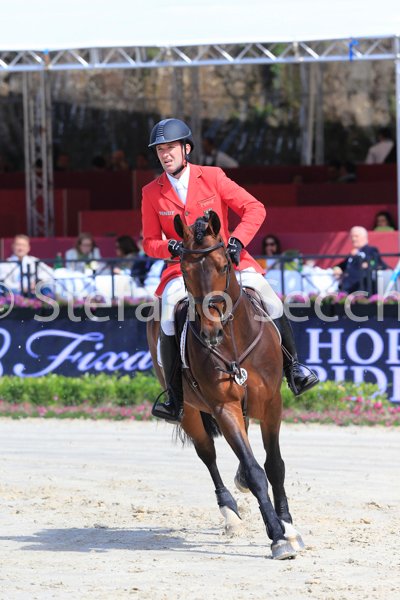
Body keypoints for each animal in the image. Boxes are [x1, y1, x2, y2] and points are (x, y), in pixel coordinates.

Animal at [147, 210, 304, 559]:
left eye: (223, 265)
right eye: (185, 269)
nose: (211, 333)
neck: (233, 340)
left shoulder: (271, 403)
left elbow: (274, 465)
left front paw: (288, 526)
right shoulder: (223, 407)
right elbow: (257, 472)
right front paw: (277, 537)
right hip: (191, 413)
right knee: (208, 456)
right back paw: (230, 514)